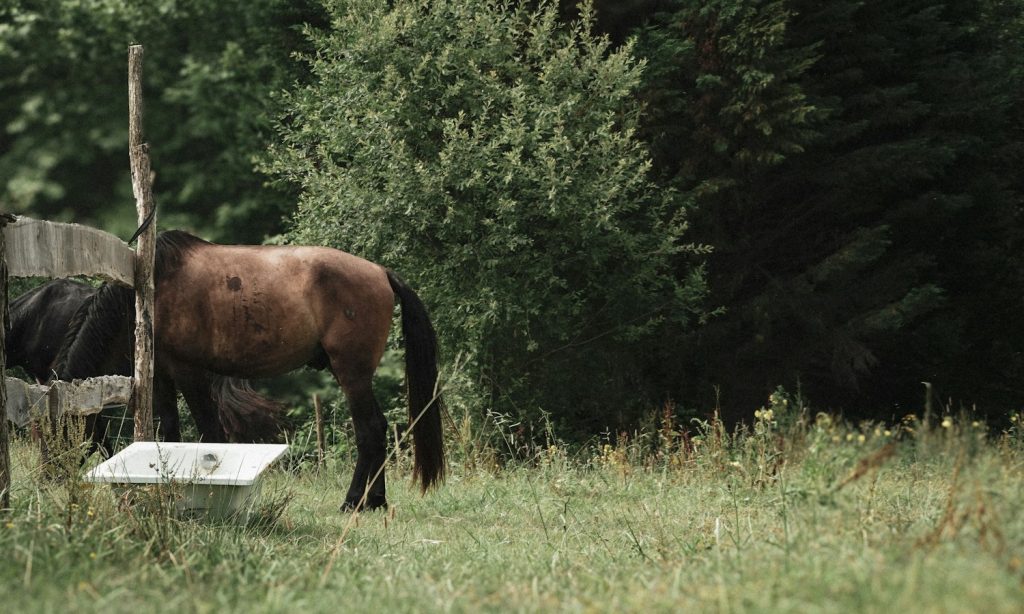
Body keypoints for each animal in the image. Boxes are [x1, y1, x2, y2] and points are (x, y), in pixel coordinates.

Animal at [60, 231, 446, 510]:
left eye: (62, 429)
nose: (54, 476)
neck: (150, 290)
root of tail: (381, 273)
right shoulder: (163, 377)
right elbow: (170, 433)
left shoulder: (189, 373)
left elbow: (210, 433)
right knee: (377, 428)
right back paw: (375, 500)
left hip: (352, 373)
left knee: (369, 430)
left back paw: (354, 501)